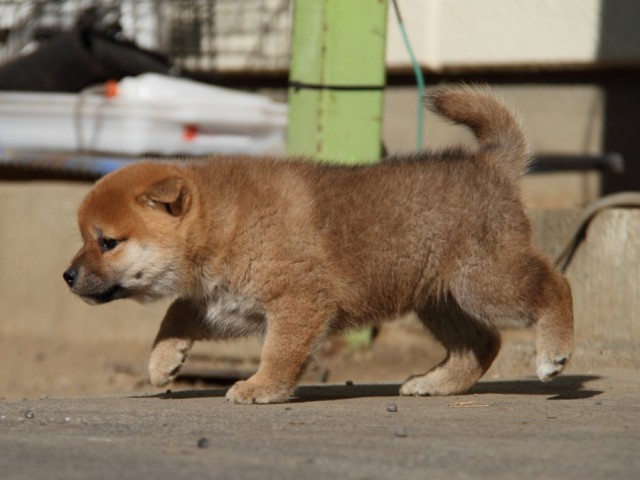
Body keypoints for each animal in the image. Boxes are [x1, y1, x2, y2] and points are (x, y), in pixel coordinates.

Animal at [63, 87, 576, 404]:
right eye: (85, 239)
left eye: (107, 242)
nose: (67, 276)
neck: (225, 223)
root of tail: (490, 165)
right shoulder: (225, 304)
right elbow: (174, 315)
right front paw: (163, 362)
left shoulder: (298, 301)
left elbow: (278, 352)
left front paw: (261, 387)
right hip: (440, 299)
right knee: (482, 344)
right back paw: (435, 383)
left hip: (486, 281)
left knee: (556, 285)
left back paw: (552, 353)